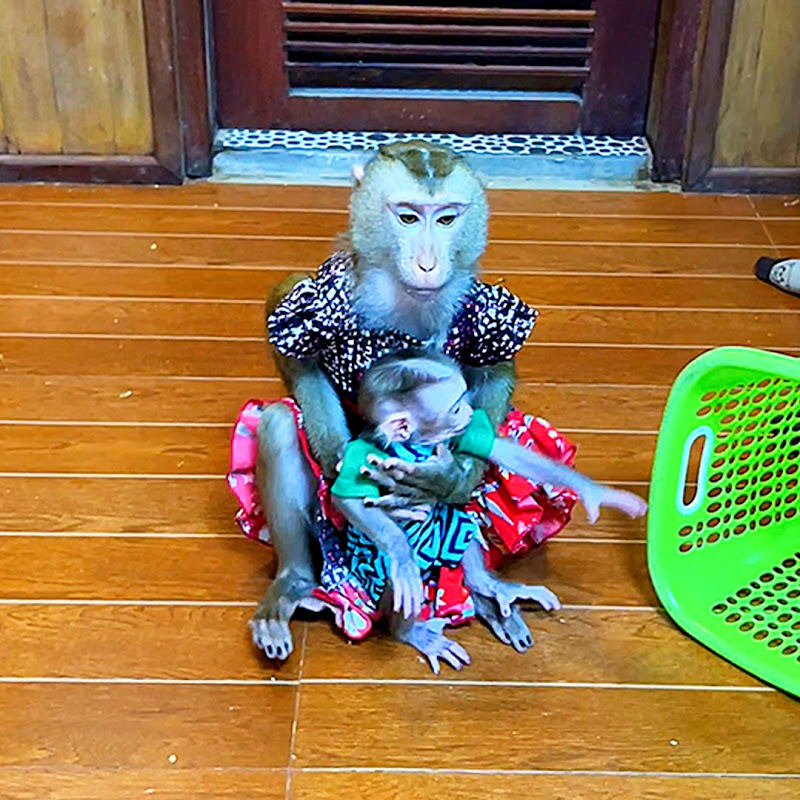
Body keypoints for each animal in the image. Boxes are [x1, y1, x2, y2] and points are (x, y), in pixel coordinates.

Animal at [241, 141, 572, 661]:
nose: (428, 264)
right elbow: (290, 335)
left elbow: (496, 364)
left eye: (446, 219)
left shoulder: (485, 304)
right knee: (277, 422)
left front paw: (450, 480)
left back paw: (484, 585)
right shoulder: (323, 294)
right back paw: (294, 584)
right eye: (409, 218)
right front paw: (339, 459)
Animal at [323, 351, 647, 673]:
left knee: (458, 524)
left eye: (463, 402)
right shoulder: (361, 453)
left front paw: (601, 494)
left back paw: (490, 585)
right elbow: (347, 498)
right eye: (454, 407)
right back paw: (411, 630)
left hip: (450, 531)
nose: (469, 412)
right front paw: (401, 553)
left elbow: (503, 453)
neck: (417, 446)